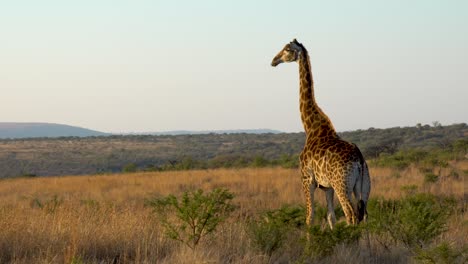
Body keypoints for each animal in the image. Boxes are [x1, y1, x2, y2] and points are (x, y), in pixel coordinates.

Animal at [268, 38, 372, 228]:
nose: (274, 60)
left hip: (342, 185)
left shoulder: (307, 179)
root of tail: (360, 159)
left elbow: (310, 217)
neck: (310, 127)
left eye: (287, 49)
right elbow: (330, 216)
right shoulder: (327, 186)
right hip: (363, 186)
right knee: (365, 216)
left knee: (351, 215)